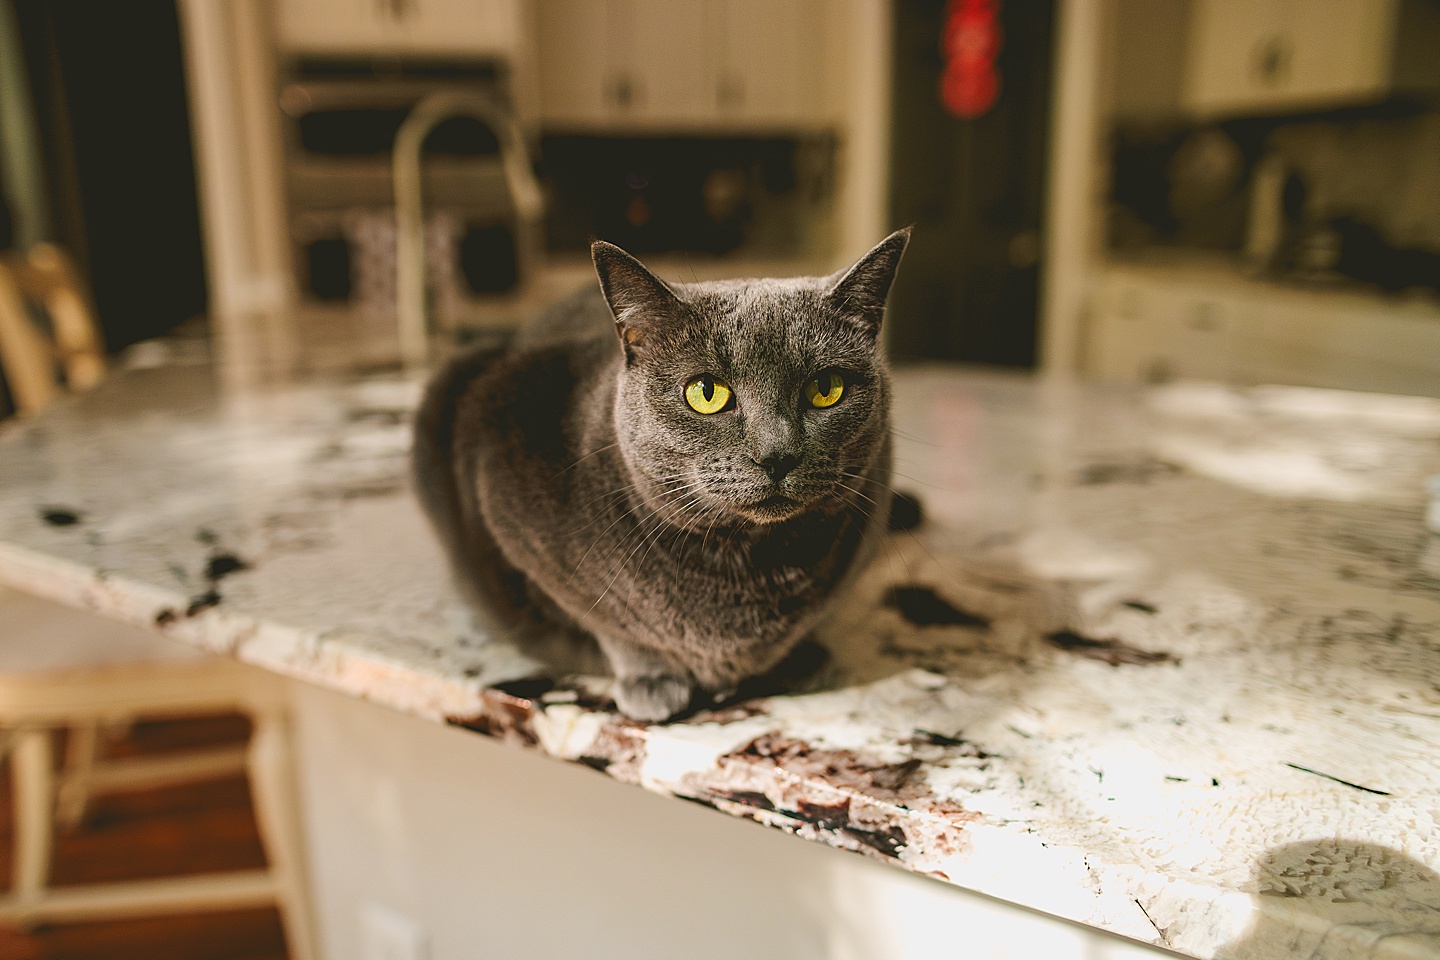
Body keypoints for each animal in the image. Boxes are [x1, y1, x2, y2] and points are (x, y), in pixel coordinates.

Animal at [417, 230, 904, 719]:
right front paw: (652, 679)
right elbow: (610, 622)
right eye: (706, 393)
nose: (776, 455)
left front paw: (798, 657)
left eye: (826, 389)